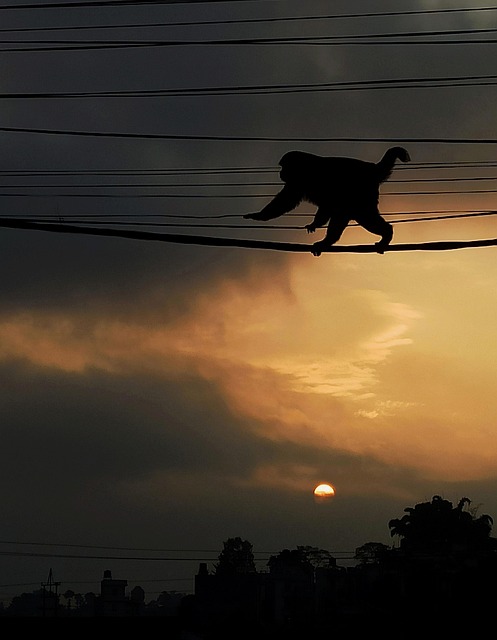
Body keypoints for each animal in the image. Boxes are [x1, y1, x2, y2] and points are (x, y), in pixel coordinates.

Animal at [244, 146, 411, 255]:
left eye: (284, 166)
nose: (281, 172)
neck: (305, 168)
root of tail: (373, 169)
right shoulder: (297, 182)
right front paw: (315, 223)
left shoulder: (306, 179)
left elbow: (291, 201)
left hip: (361, 194)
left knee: (362, 215)